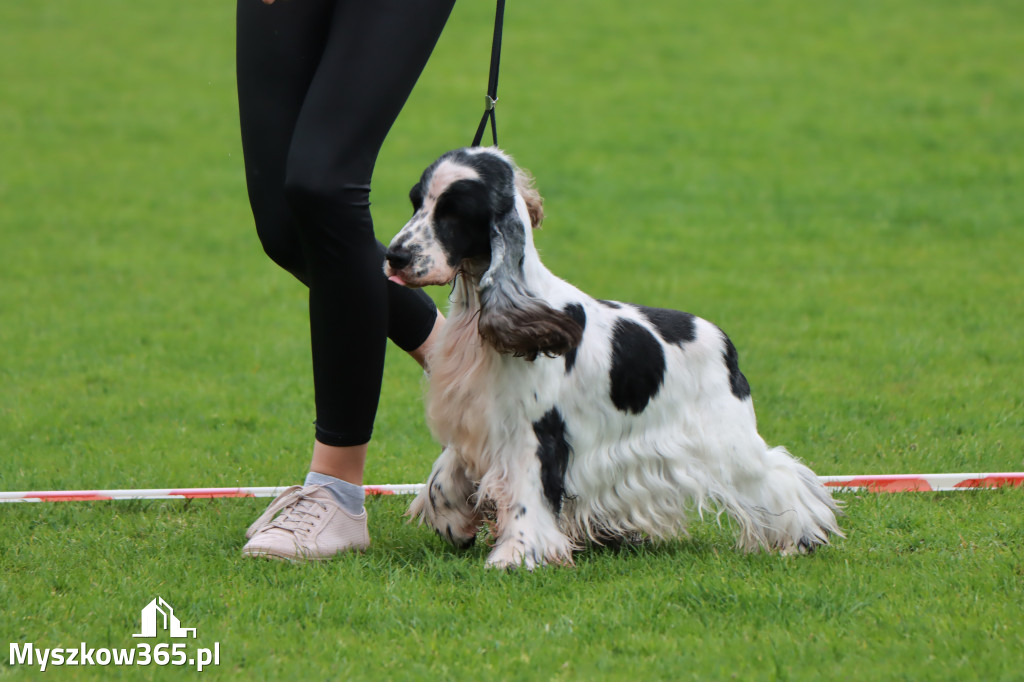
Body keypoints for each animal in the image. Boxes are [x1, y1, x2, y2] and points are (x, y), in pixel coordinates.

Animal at [385, 148, 839, 569]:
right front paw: (453, 521)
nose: (394, 256)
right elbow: (443, 475)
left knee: (777, 474)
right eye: (416, 202)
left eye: (453, 212)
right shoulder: (476, 418)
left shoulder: (535, 431)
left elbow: (527, 495)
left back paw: (801, 539)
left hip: (727, 440)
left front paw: (517, 555)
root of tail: (722, 340)